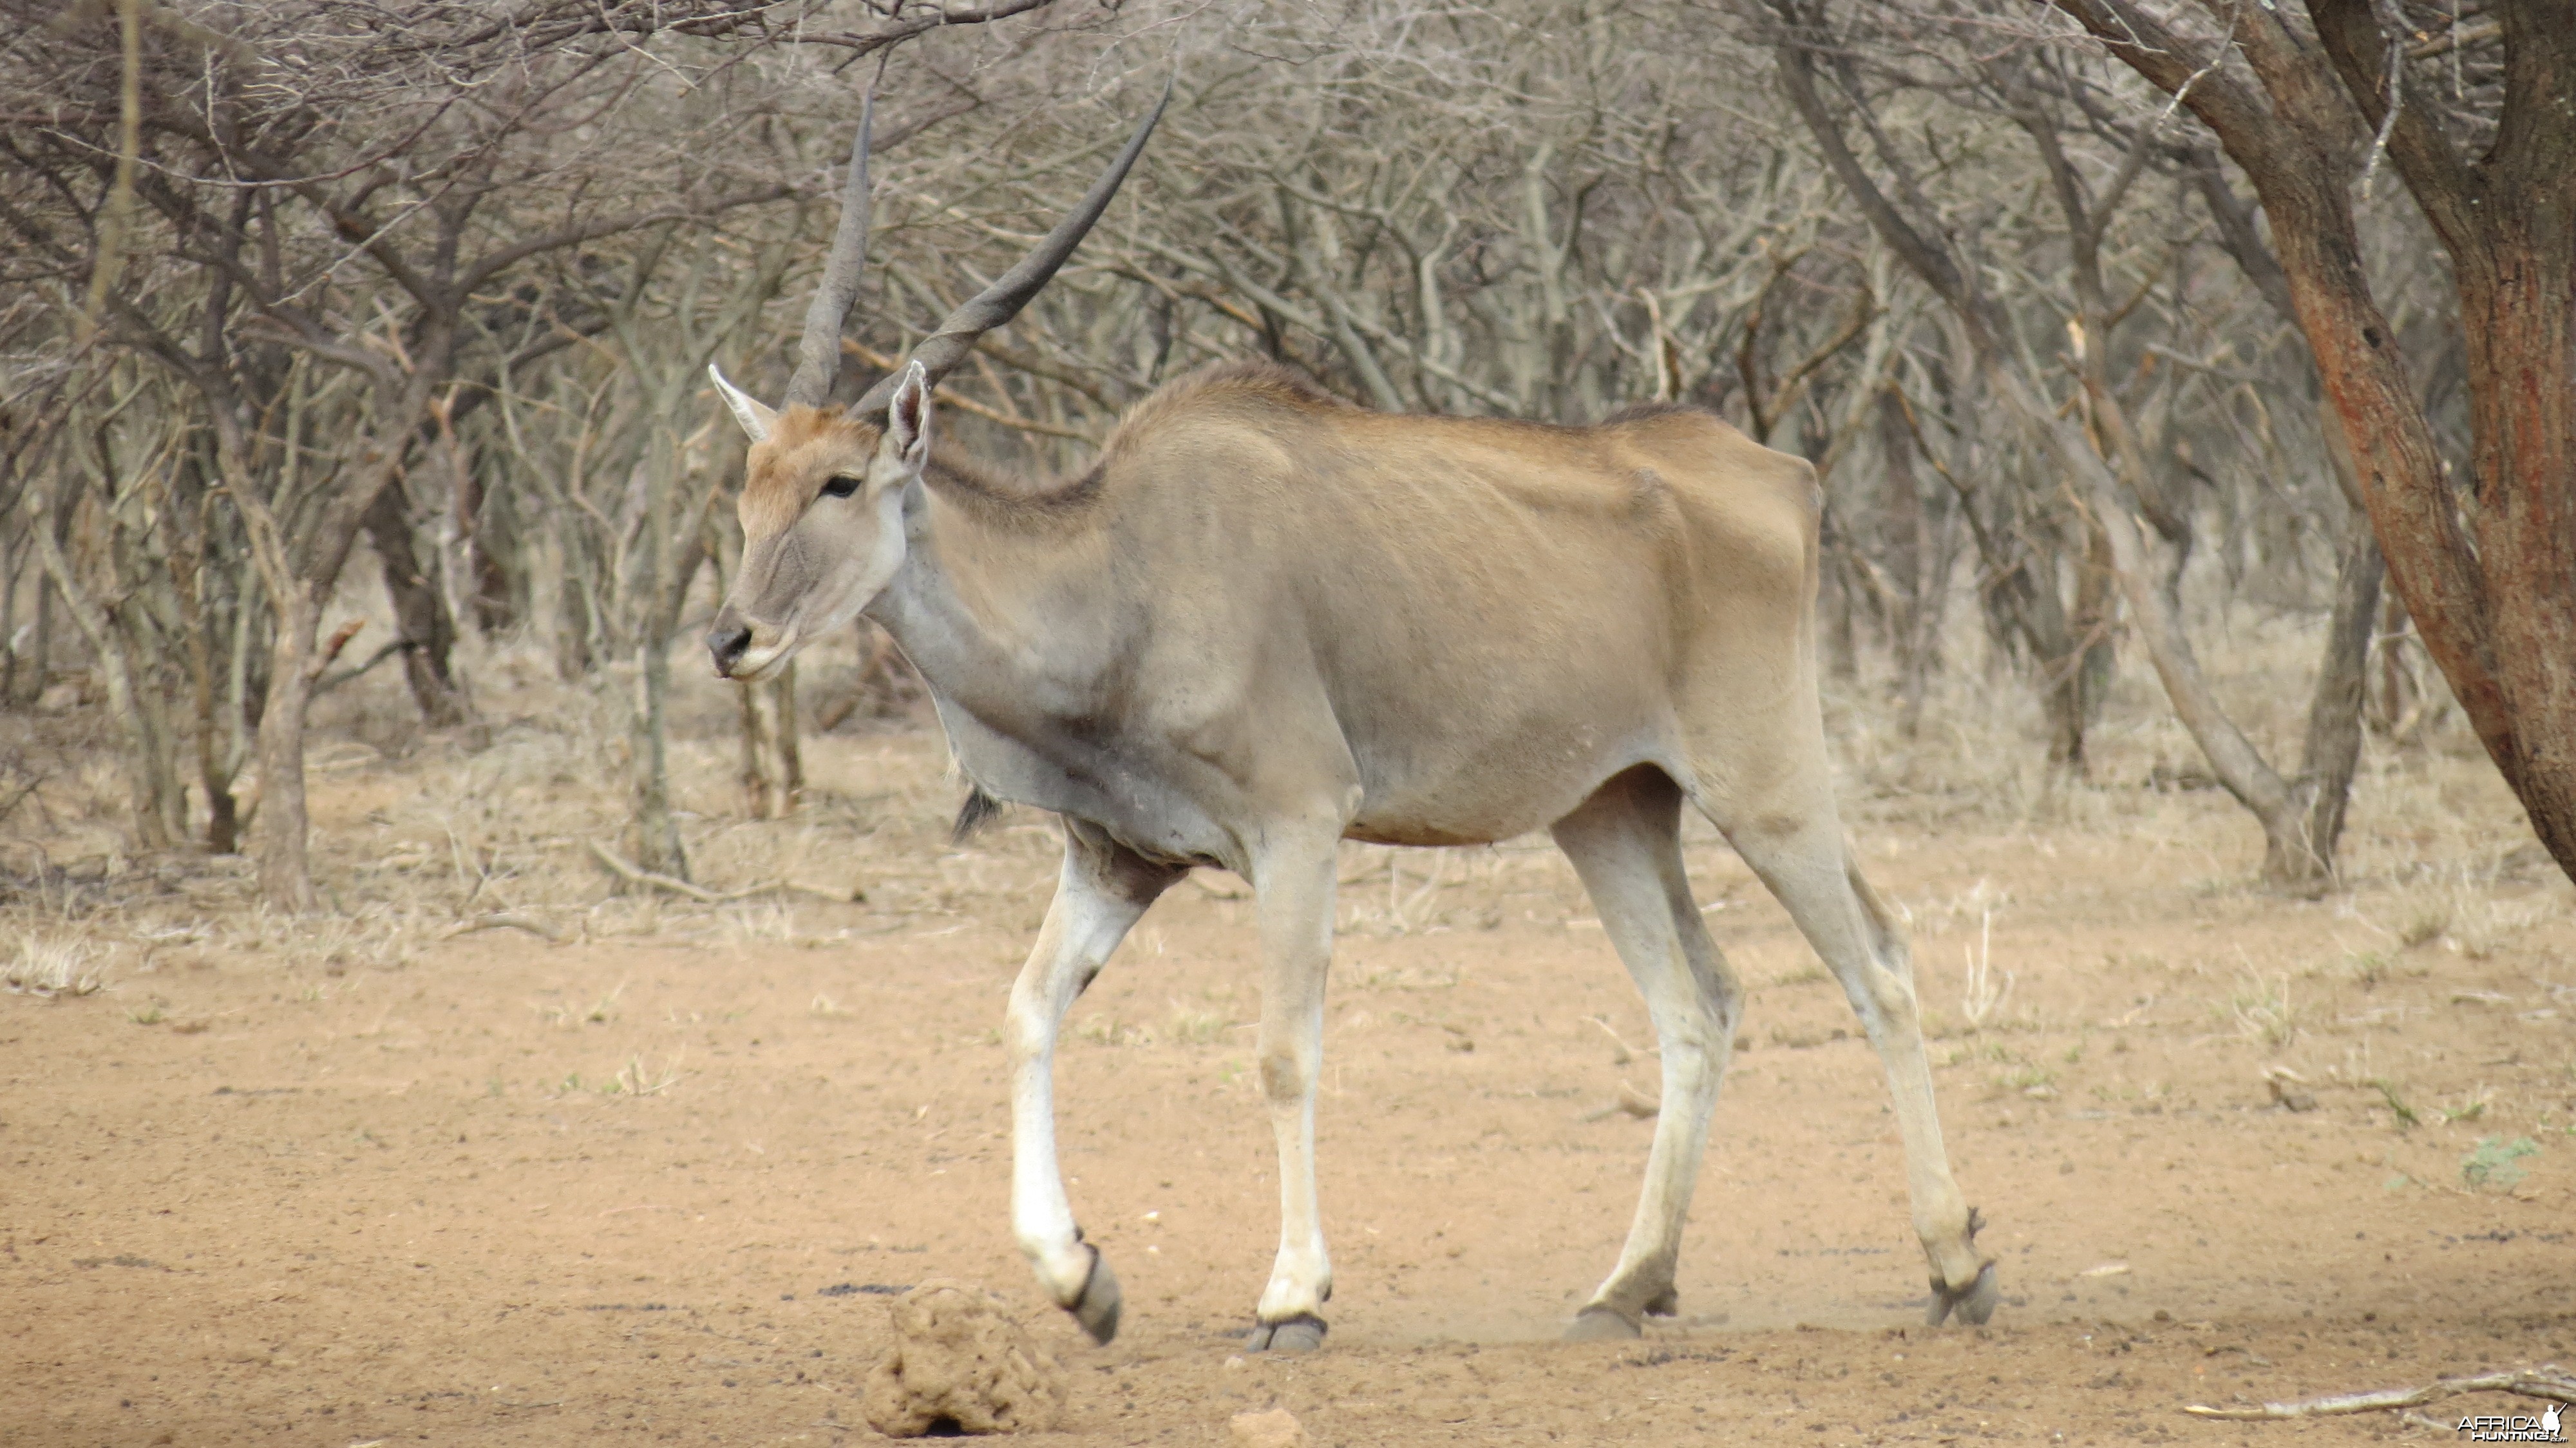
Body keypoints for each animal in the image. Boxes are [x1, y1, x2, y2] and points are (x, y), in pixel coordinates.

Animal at [706, 93, 1989, 1350]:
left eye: (841, 482)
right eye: (750, 483)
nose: (732, 639)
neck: (1119, 570)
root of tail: (1777, 472)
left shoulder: (1300, 828)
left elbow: (1283, 1052)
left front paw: (1292, 1296)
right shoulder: (1119, 860)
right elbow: (1027, 1013)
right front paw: (1080, 1279)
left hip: (1765, 790)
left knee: (1878, 967)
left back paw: (1956, 1266)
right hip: (1612, 810)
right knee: (1698, 1003)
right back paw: (1629, 1286)